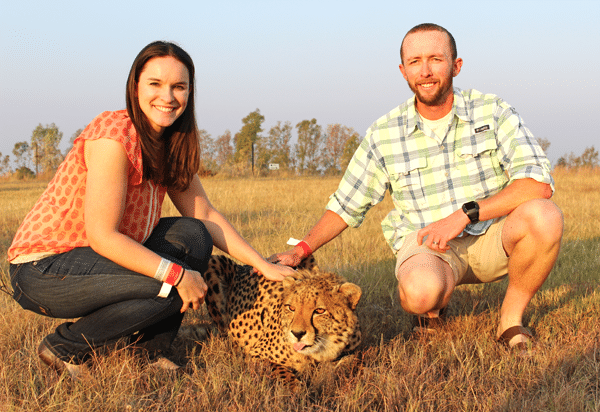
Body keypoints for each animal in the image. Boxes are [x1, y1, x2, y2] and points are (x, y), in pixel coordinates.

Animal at [189, 254, 360, 384]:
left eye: (319, 311)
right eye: (291, 308)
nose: (297, 334)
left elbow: (353, 360)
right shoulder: (256, 355)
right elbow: (280, 370)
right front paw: (297, 391)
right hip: (214, 263)